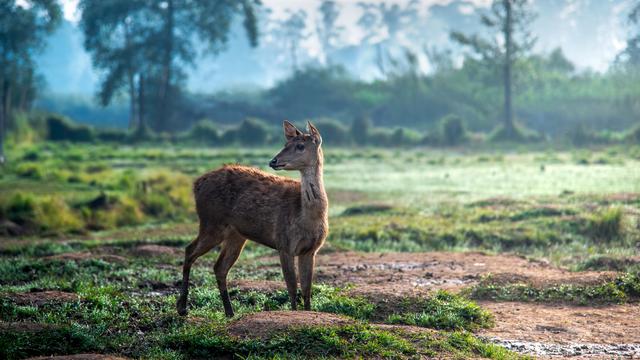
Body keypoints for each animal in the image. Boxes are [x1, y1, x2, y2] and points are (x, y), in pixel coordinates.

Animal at [179, 119, 330, 316]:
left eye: (300, 146)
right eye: (285, 144)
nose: (273, 161)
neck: (305, 217)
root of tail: (196, 184)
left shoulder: (310, 250)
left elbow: (306, 289)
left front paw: (307, 313)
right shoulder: (284, 243)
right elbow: (291, 287)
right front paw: (293, 313)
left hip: (235, 234)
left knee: (219, 267)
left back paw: (230, 313)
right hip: (211, 222)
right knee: (190, 250)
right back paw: (182, 308)